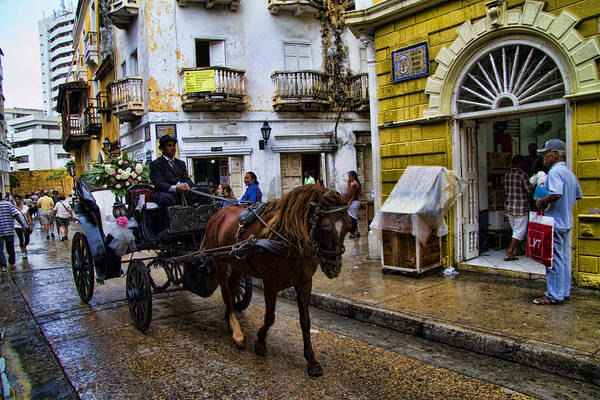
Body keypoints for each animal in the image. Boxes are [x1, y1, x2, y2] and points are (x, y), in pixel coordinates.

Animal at [202, 184, 352, 376]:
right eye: (325, 227)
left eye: (348, 226)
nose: (334, 268)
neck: (287, 239)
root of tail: (218, 213)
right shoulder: (270, 283)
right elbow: (270, 317)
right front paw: (260, 342)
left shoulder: (304, 283)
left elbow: (305, 321)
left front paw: (311, 360)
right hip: (219, 259)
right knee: (226, 292)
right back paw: (236, 331)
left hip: (239, 262)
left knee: (233, 284)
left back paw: (230, 318)